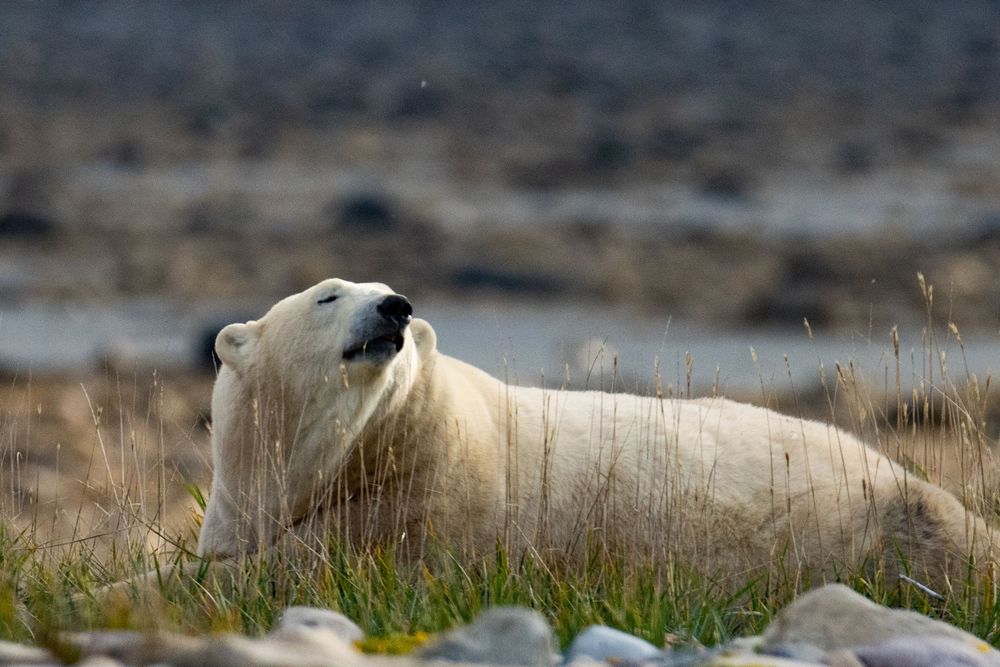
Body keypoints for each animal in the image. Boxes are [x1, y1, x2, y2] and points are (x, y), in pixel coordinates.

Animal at [197, 277, 997, 587]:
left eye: (381, 291)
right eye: (329, 295)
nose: (396, 306)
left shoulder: (424, 505)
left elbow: (316, 564)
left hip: (895, 516)